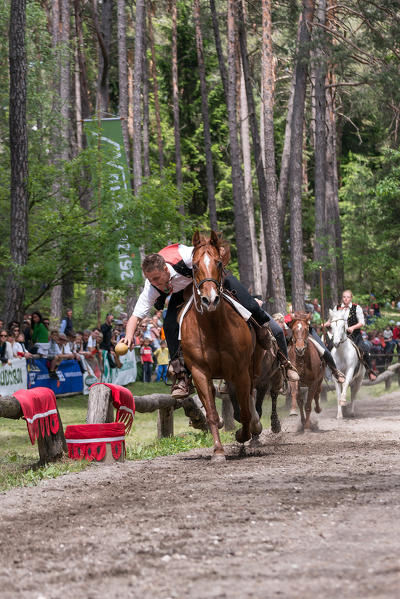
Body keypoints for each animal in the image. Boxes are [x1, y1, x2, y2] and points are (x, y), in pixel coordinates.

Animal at [180, 232, 262, 462]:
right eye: (194, 266)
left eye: (218, 262)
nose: (210, 299)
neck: (212, 328)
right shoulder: (200, 372)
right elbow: (212, 413)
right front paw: (218, 450)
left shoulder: (241, 371)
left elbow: (245, 410)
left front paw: (243, 434)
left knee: (249, 398)